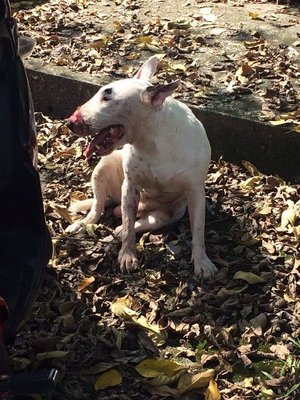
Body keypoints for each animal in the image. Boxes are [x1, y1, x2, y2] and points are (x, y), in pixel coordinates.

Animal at [65, 56, 217, 280]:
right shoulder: (130, 186)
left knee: (136, 223)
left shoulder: (195, 191)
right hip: (103, 169)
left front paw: (202, 262)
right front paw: (127, 256)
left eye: (107, 97)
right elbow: (128, 223)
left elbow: (198, 229)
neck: (151, 140)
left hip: (168, 213)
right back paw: (83, 224)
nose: (70, 122)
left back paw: (115, 232)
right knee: (100, 209)